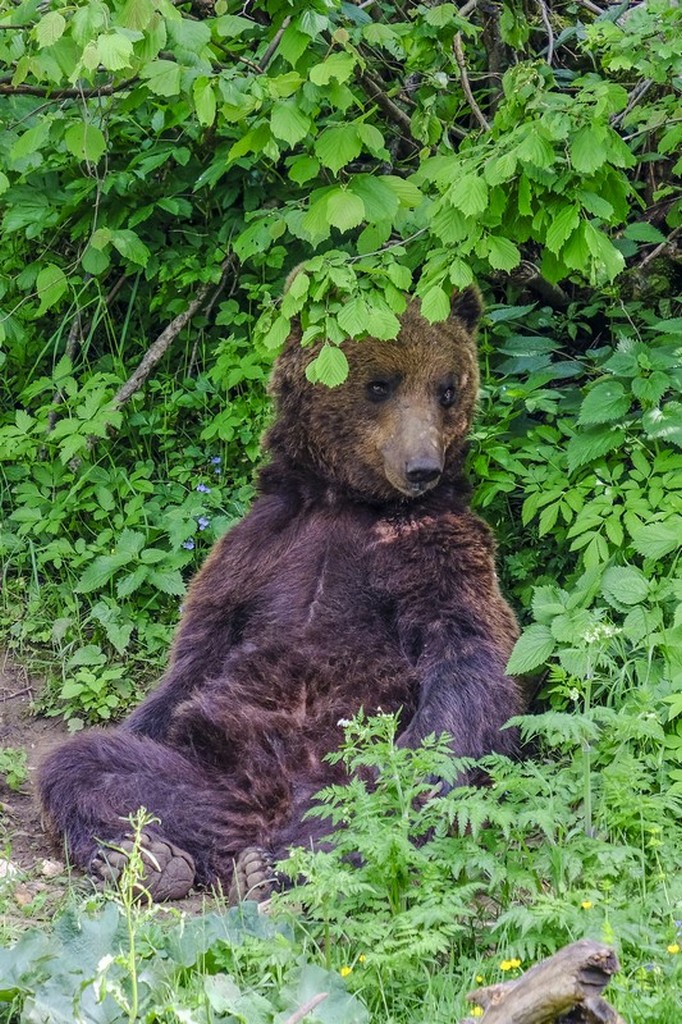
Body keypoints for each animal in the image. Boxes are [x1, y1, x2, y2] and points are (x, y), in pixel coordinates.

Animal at [37, 284, 520, 901]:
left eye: (447, 388)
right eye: (380, 384)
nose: (422, 467)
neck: (346, 502)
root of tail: (259, 814)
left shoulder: (437, 552)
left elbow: (469, 659)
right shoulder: (256, 551)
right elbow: (197, 653)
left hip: (347, 774)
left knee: (380, 812)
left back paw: (282, 866)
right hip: (207, 770)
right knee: (86, 764)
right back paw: (143, 858)